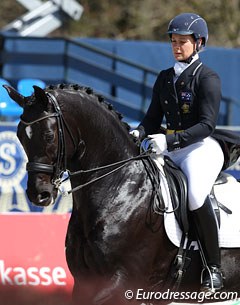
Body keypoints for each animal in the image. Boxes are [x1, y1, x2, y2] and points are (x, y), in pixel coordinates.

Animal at [3, 83, 240, 304]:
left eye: (48, 135)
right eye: (20, 136)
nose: (38, 193)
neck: (121, 188)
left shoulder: (124, 282)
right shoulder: (84, 281)